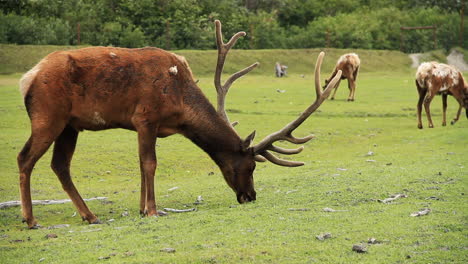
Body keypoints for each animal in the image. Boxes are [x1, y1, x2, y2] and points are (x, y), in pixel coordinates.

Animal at [16, 19, 342, 228]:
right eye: (251, 166)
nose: (250, 196)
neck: (182, 108)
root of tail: (27, 78)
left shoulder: (145, 125)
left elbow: (141, 164)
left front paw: (141, 208)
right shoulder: (145, 117)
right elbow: (149, 164)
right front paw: (152, 210)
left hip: (70, 125)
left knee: (60, 165)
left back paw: (90, 215)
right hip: (48, 116)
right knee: (25, 158)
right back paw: (31, 219)